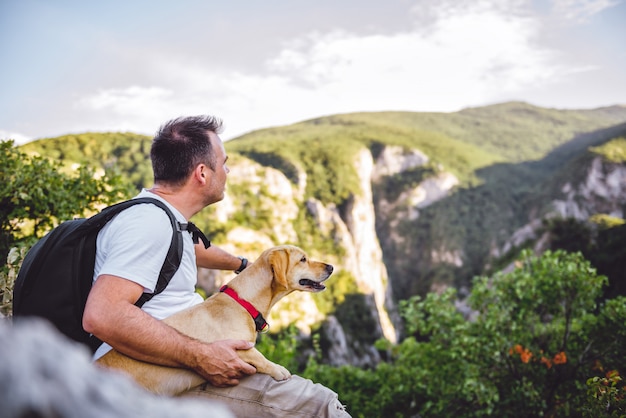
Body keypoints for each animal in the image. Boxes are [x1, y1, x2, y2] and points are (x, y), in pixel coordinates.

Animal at [95, 247, 332, 396]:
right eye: (303, 259)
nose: (331, 267)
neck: (243, 302)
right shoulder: (234, 348)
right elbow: (258, 356)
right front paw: (278, 369)